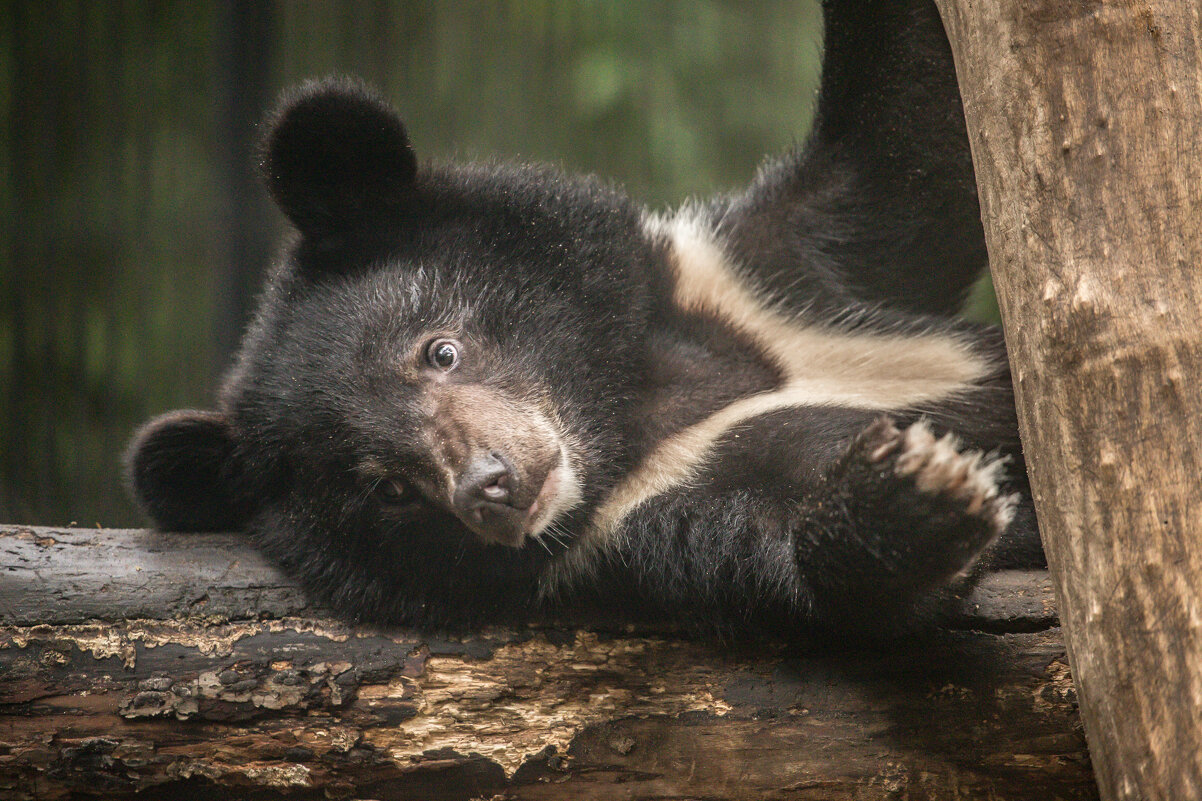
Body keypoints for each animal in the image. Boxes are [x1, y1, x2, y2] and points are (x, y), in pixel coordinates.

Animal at [124, 0, 1043, 635]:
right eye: (386, 488)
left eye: (440, 351)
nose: (491, 487)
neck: (631, 414)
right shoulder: (647, 525)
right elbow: (819, 572)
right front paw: (919, 491)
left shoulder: (768, 266)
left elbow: (910, 151)